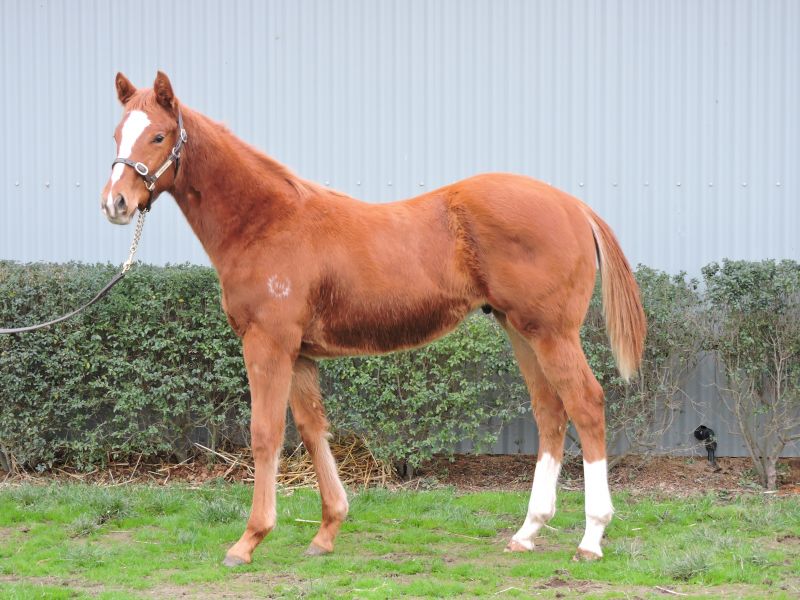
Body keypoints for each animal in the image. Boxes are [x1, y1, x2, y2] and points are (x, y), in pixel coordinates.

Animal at [102, 72, 646, 566]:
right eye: (116, 133)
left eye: (159, 135)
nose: (116, 203)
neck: (267, 223)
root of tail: (573, 205)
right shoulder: (300, 354)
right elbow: (313, 429)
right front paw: (326, 532)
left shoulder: (268, 344)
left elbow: (266, 434)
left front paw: (249, 540)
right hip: (520, 331)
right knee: (551, 412)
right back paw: (529, 530)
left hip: (552, 333)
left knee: (586, 404)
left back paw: (591, 537)